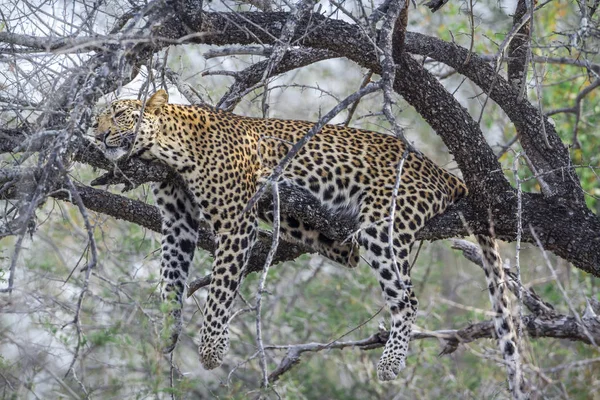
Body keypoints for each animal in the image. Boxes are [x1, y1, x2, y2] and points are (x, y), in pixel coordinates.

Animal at [92, 90, 524, 394]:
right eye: (98, 116)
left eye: (119, 113)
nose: (96, 134)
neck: (169, 150)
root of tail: (443, 172)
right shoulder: (178, 221)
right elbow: (170, 277)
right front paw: (166, 332)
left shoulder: (235, 221)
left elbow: (220, 290)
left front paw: (211, 350)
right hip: (330, 236)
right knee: (351, 254)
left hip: (382, 223)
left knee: (407, 299)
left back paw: (389, 364)